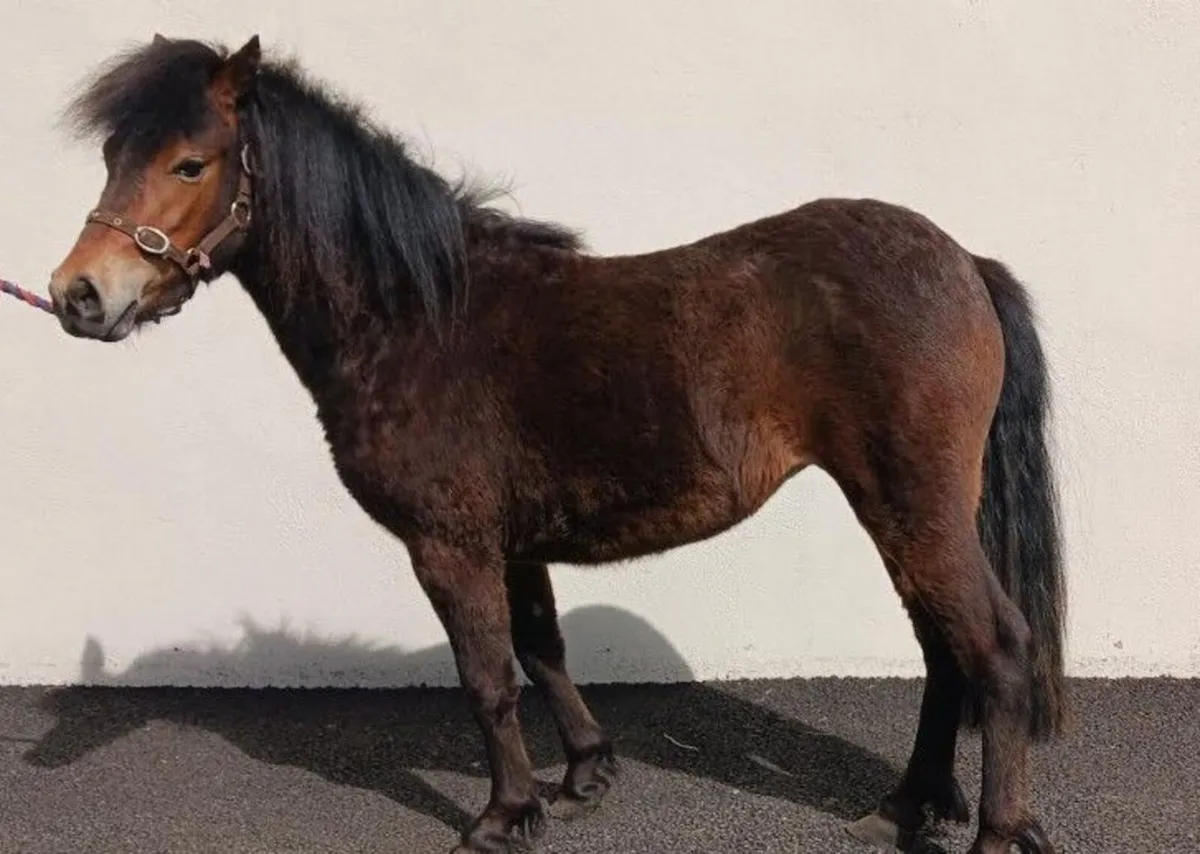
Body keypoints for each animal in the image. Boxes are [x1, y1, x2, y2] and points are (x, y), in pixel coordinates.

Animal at [44, 35, 1067, 854]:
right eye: (111, 154)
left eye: (190, 163)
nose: (78, 295)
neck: (415, 318)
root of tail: (962, 262)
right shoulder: (513, 542)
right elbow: (541, 650)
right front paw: (582, 777)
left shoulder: (449, 547)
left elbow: (487, 677)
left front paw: (502, 817)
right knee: (944, 652)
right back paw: (904, 807)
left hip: (912, 506)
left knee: (994, 648)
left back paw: (994, 831)